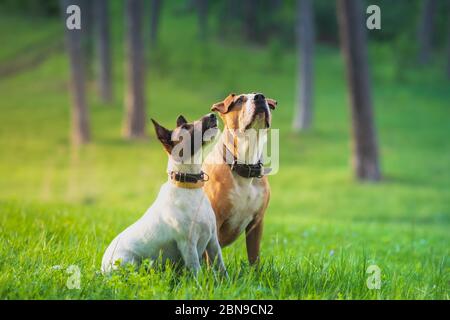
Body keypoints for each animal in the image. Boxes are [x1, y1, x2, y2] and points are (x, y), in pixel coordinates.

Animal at [103, 113, 227, 276]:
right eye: (186, 127)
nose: (212, 114)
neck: (189, 187)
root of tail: (102, 267)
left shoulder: (213, 240)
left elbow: (221, 267)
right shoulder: (188, 244)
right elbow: (196, 270)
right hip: (129, 263)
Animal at [202, 93, 276, 264]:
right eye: (239, 100)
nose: (259, 97)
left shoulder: (257, 223)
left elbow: (254, 257)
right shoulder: (215, 221)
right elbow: (212, 260)